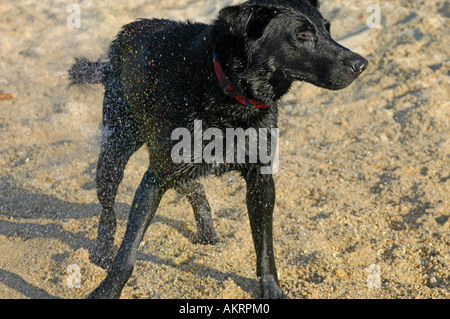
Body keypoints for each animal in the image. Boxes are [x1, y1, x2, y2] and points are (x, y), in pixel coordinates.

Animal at [69, 0, 366, 300]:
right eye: (302, 35)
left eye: (327, 30)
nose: (361, 64)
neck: (228, 93)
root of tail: (123, 36)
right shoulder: (155, 179)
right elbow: (128, 252)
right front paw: (106, 290)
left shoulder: (261, 181)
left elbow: (265, 250)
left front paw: (272, 290)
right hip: (115, 149)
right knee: (108, 210)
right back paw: (102, 249)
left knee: (194, 188)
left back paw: (206, 230)